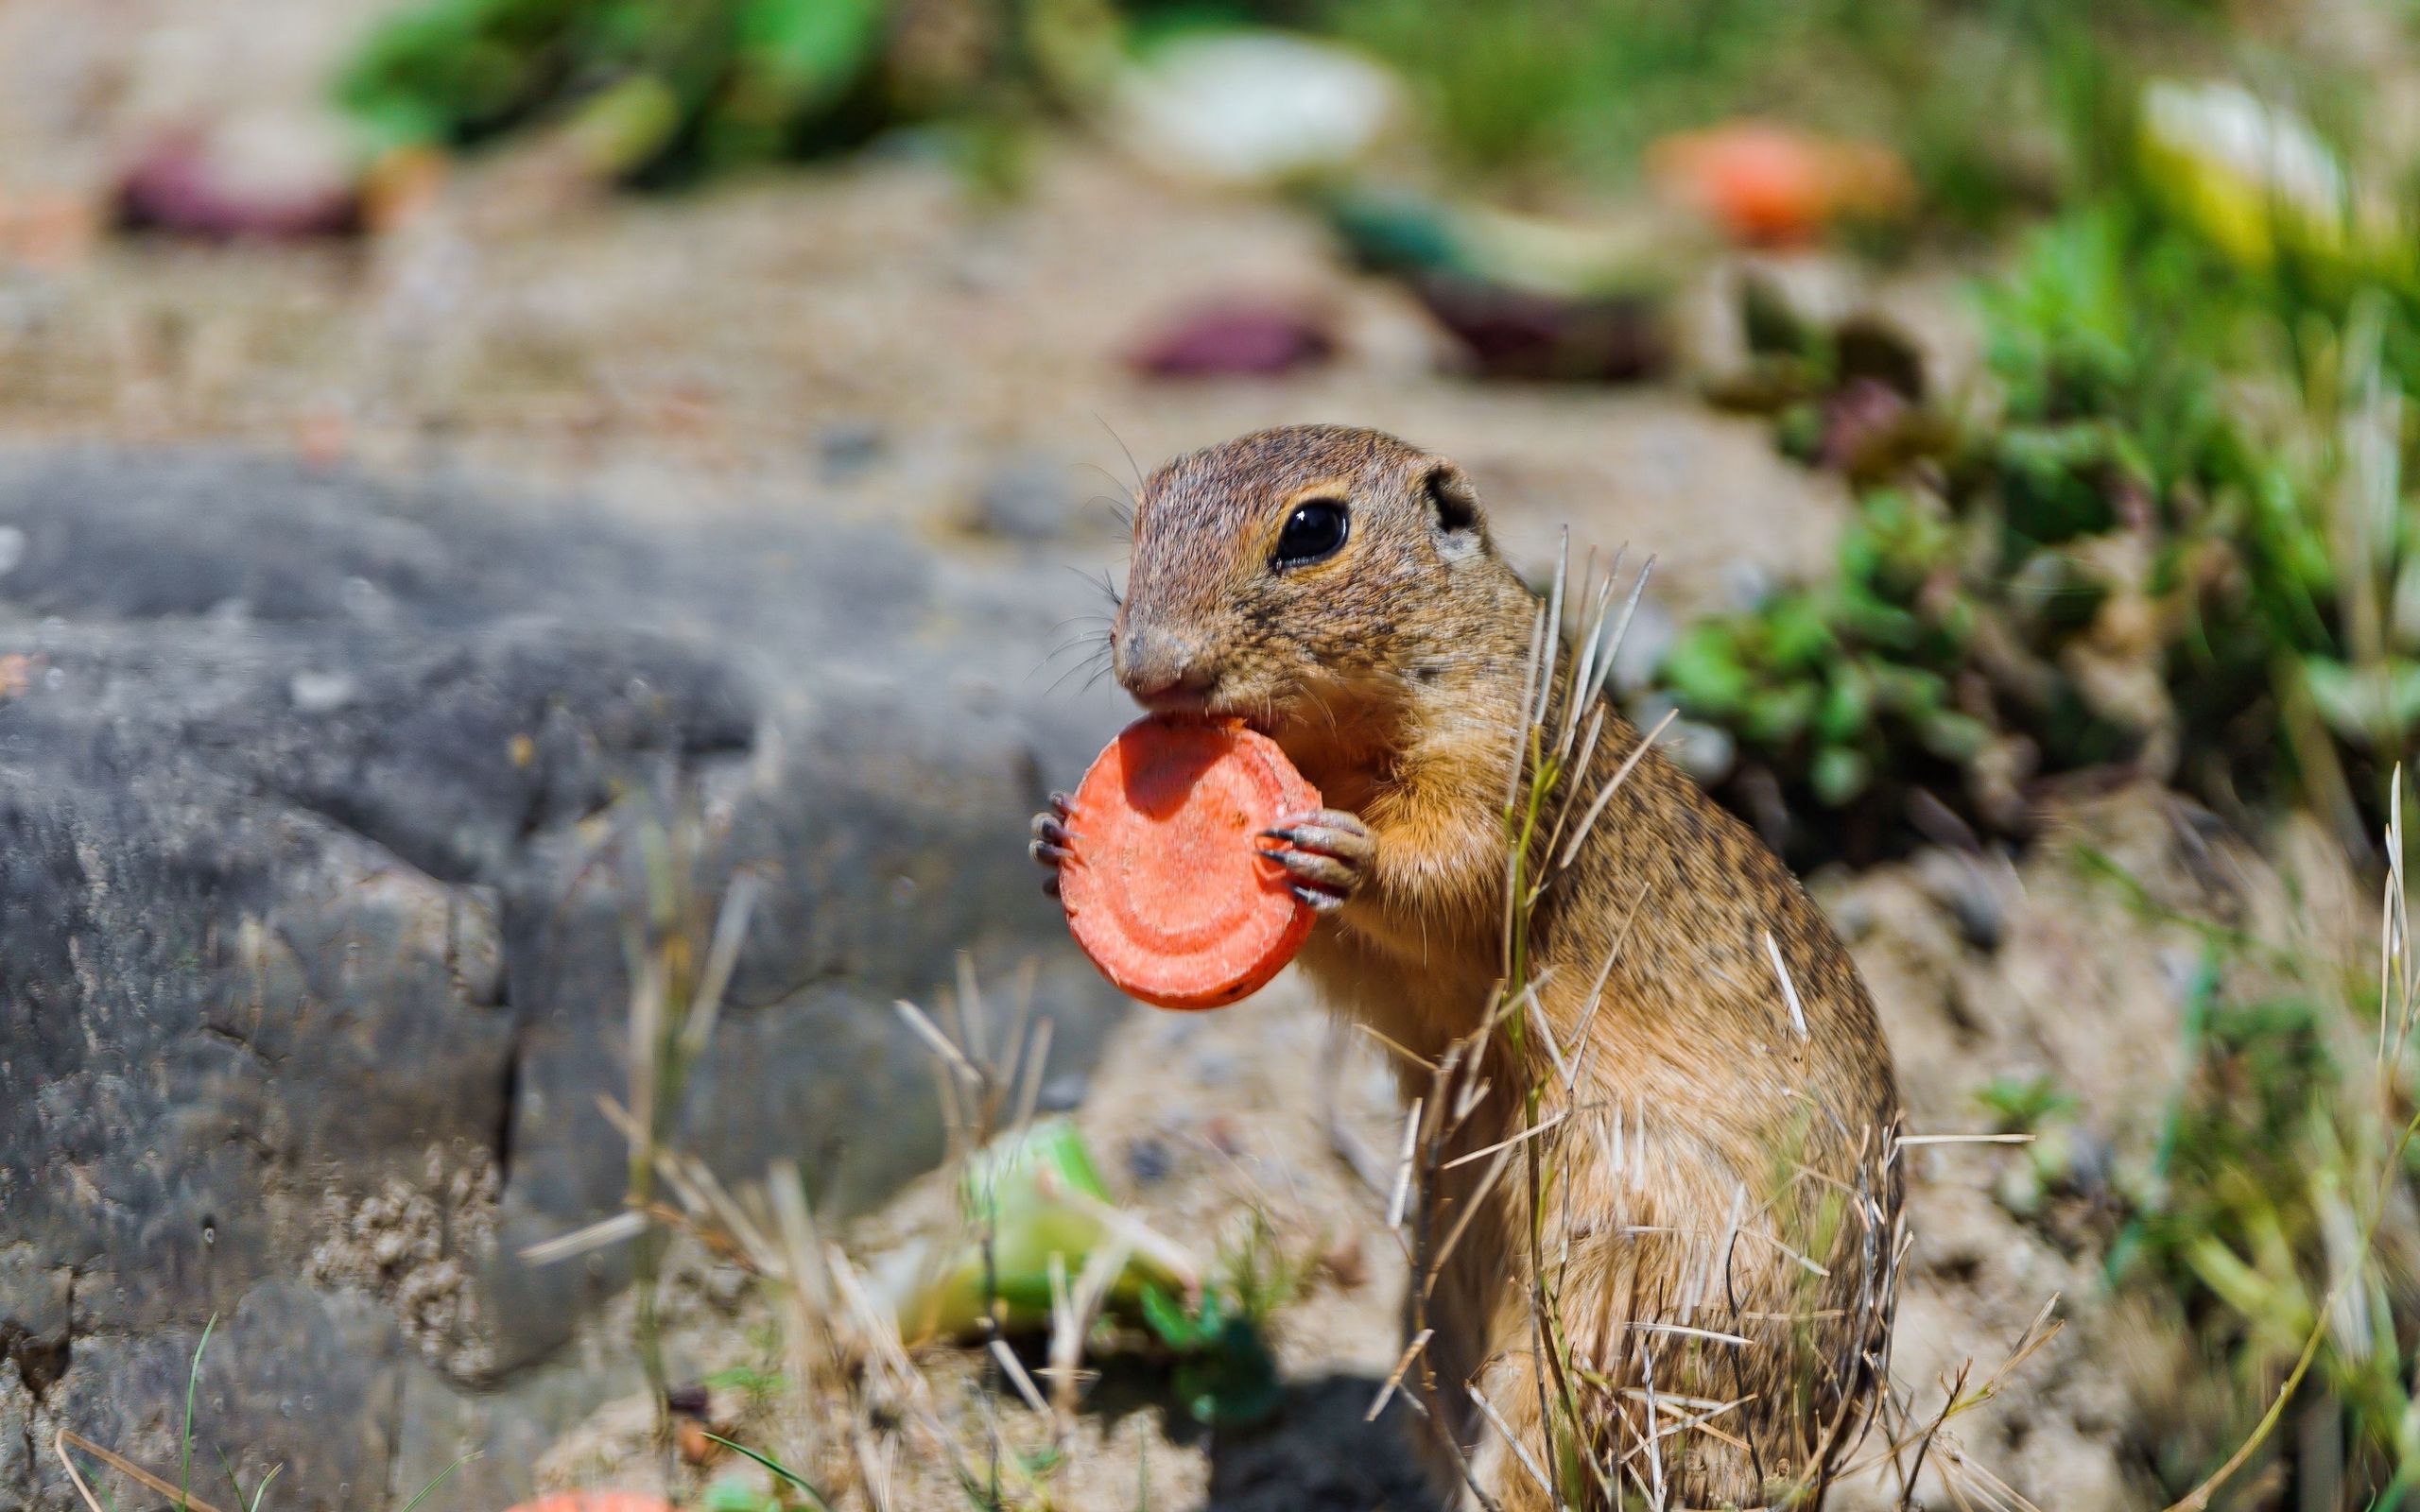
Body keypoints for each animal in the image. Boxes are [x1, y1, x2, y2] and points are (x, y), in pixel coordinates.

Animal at [1030, 428, 1897, 1509]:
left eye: (1314, 529)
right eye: (1146, 509)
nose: (1149, 667)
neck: (1335, 745)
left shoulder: (1497, 764)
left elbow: (1453, 867)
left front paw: (1343, 853)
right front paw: (1056, 833)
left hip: (1602, 1318)